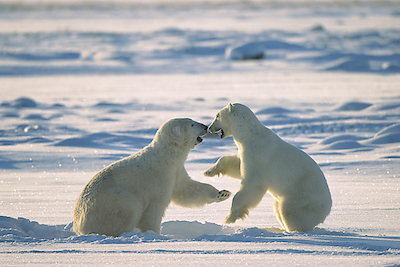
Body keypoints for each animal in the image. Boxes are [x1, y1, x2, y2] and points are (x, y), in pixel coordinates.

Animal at [72, 118, 231, 238]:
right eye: (192, 124)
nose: (205, 126)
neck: (166, 155)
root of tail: (78, 224)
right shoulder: (159, 177)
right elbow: (154, 208)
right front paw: (154, 233)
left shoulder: (176, 172)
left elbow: (187, 190)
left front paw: (222, 193)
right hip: (113, 202)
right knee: (128, 210)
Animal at [203, 103, 332, 233]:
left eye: (217, 116)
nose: (210, 127)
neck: (249, 135)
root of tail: (327, 208)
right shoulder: (246, 153)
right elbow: (236, 165)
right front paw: (208, 172)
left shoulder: (259, 156)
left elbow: (252, 184)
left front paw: (229, 218)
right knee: (278, 208)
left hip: (302, 195)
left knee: (289, 210)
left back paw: (293, 230)